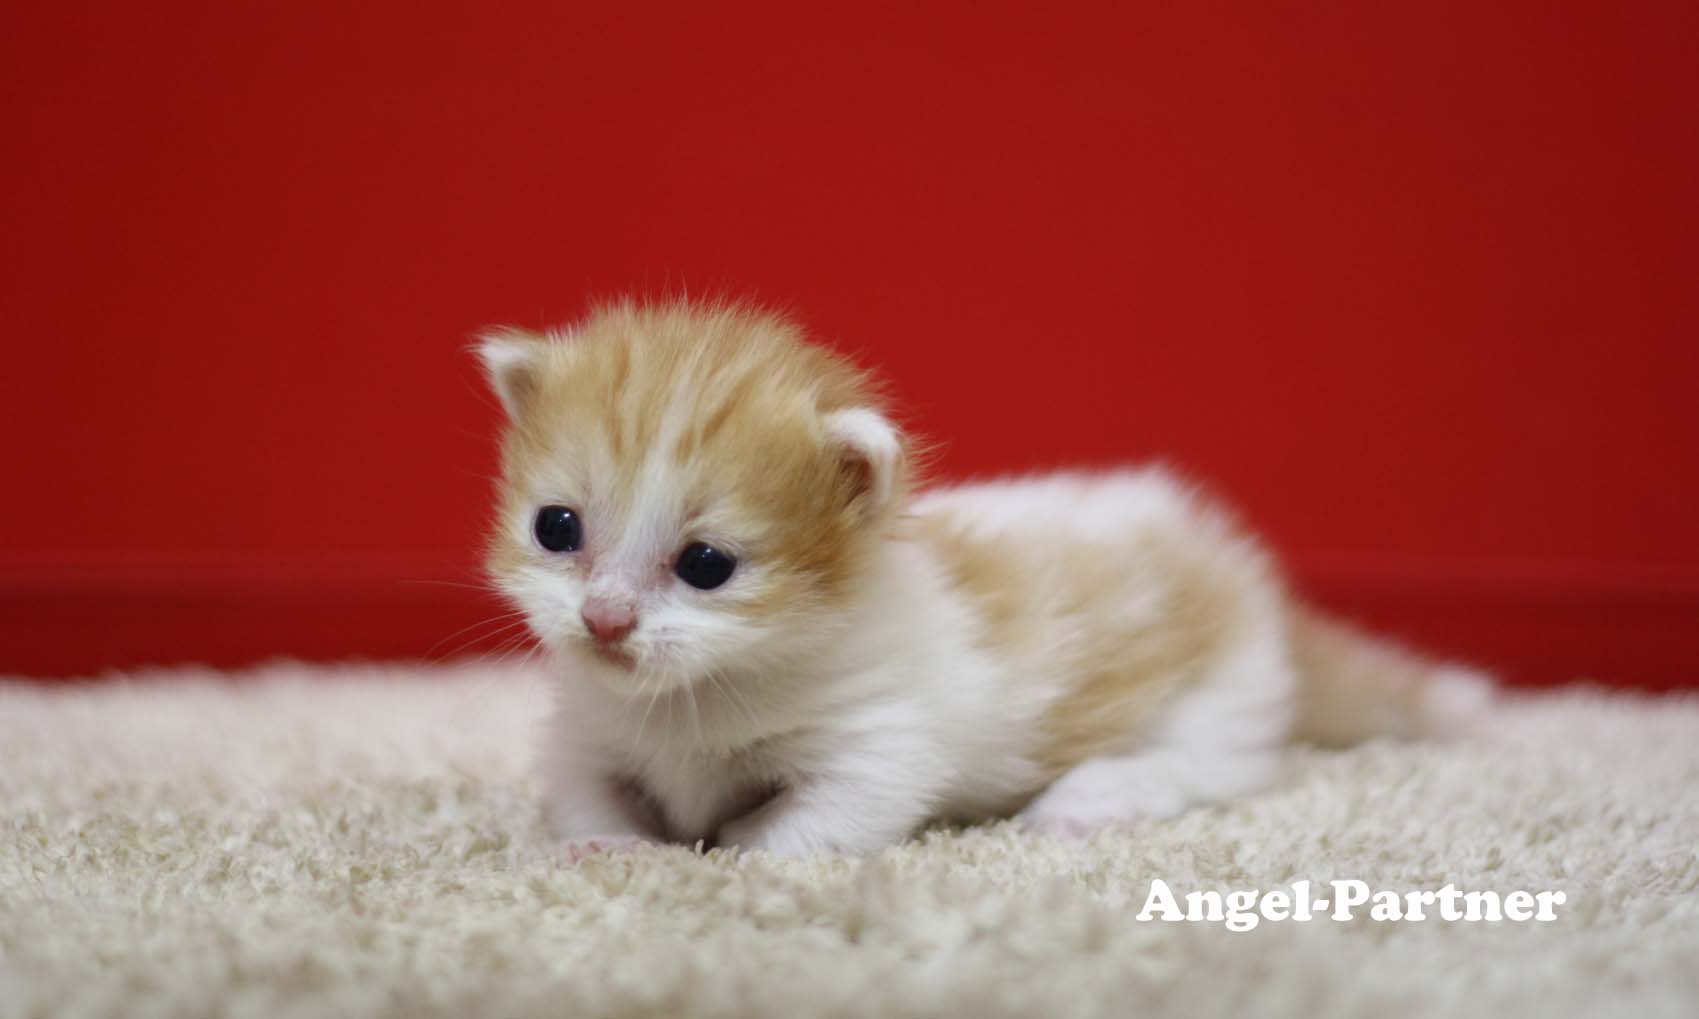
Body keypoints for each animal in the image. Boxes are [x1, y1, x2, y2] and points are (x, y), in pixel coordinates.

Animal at [475, 298, 1488, 855]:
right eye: (556, 527)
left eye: (706, 565)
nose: (605, 619)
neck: (692, 696)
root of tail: (1231, 563)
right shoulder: (588, 729)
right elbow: (582, 790)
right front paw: (609, 846)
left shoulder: (877, 741)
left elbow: (807, 828)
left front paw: (728, 843)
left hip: (1217, 692)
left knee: (1213, 765)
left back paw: (1089, 799)